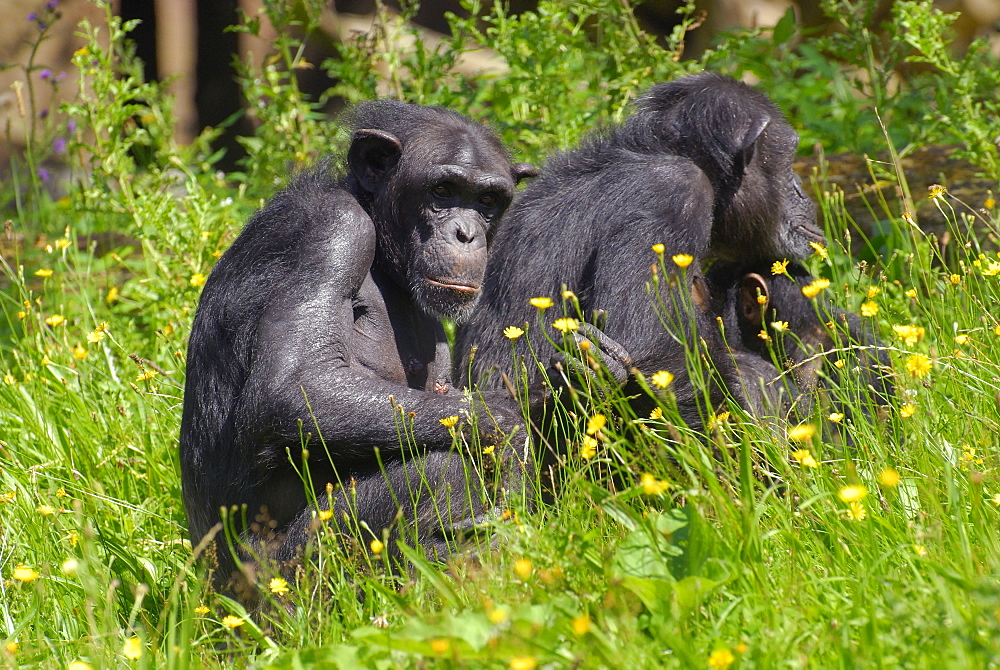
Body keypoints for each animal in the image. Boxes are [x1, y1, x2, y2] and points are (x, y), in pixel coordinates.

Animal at [177, 100, 548, 592]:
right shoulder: (334, 232)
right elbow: (295, 387)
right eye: (443, 190)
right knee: (439, 468)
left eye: (487, 201)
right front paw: (507, 428)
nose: (466, 233)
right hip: (287, 576)